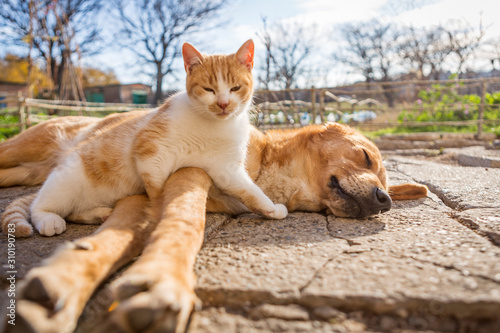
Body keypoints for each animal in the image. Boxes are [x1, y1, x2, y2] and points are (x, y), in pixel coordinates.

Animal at [0, 115, 426, 332]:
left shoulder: (142, 200)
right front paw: (164, 280)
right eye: (366, 157)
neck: (265, 172)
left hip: (29, 173)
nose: (385, 201)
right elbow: (186, 222)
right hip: (23, 149)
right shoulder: (183, 174)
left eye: (386, 185)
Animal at [25, 39, 288, 236]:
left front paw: (271, 209)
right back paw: (49, 220)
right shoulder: (150, 149)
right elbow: (157, 188)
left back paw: (99, 213)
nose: (223, 104)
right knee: (41, 207)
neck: (214, 127)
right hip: (67, 179)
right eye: (208, 89)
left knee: (74, 213)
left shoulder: (226, 168)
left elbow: (249, 190)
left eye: (235, 88)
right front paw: (160, 212)